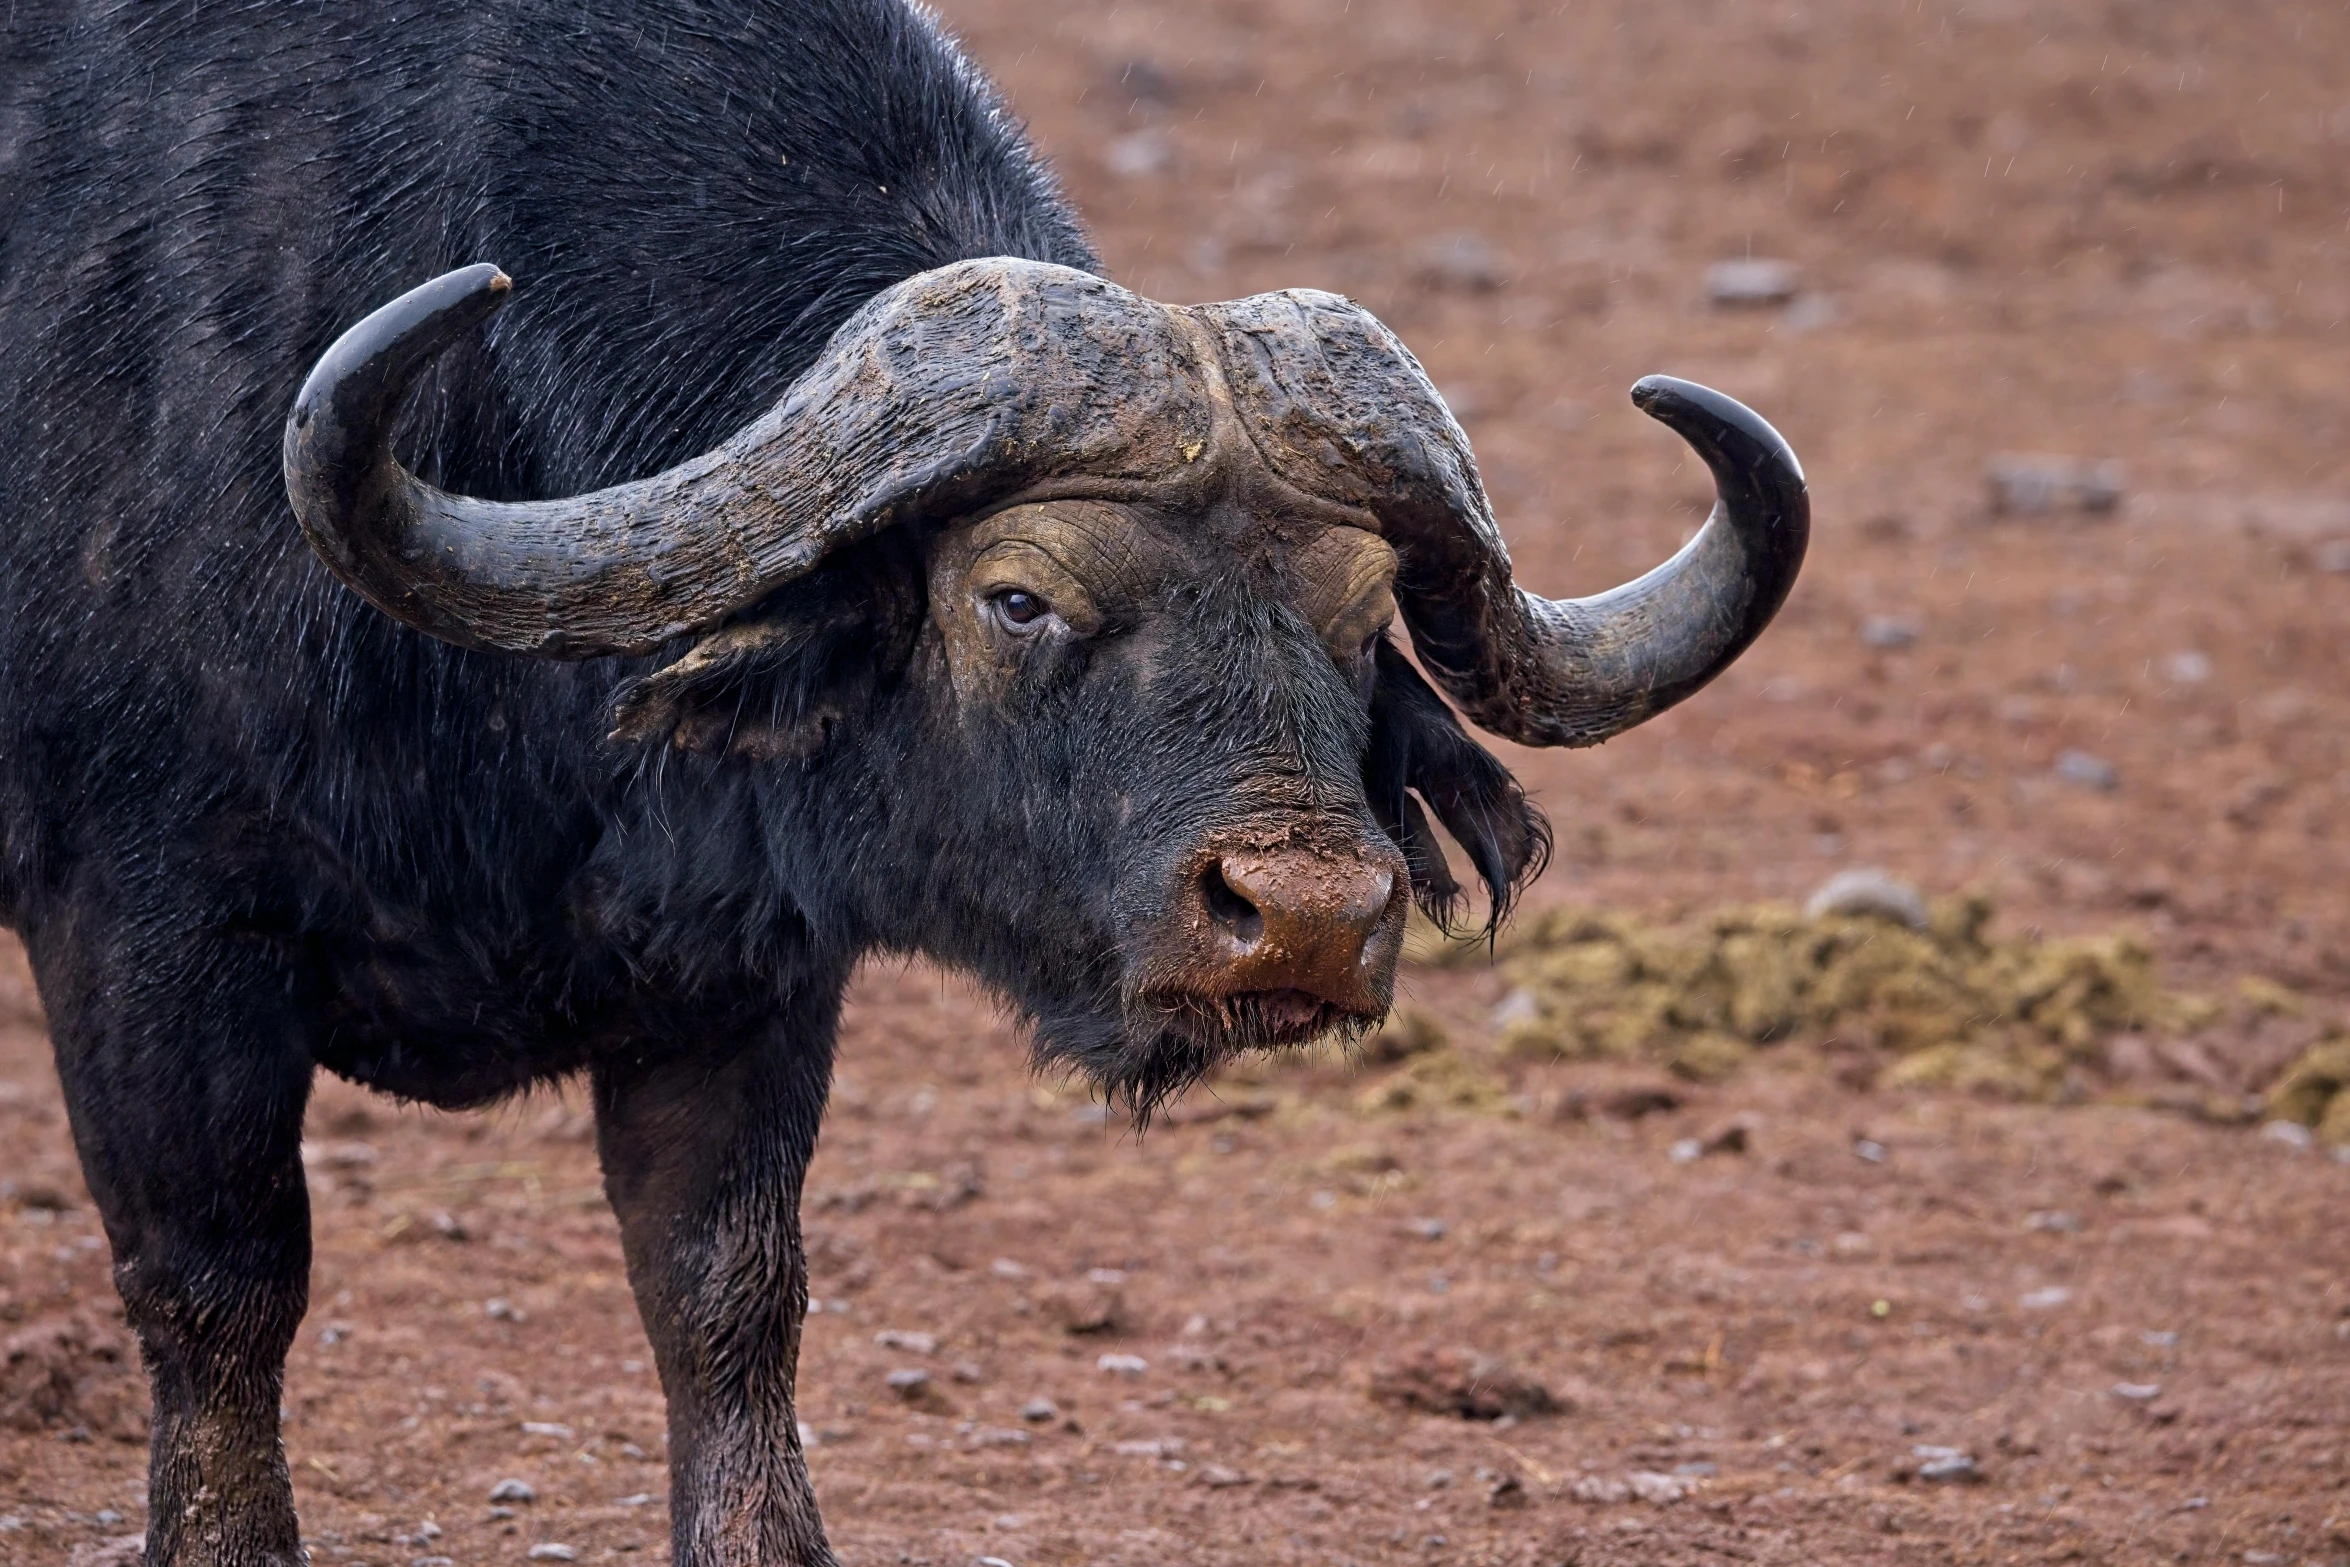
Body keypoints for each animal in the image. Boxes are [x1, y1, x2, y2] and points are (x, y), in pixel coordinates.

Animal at [0, 0, 1795, 1559]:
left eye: (1364, 621)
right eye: (1017, 595)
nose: (1301, 915)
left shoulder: (741, 981)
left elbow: (727, 1297)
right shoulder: (152, 941)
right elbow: (218, 1292)